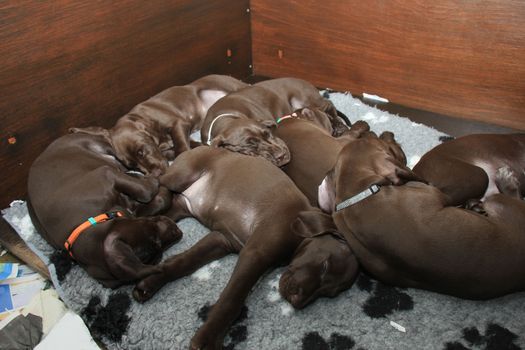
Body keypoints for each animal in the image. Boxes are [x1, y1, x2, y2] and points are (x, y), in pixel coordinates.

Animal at [27, 133, 182, 288]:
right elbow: (152, 196)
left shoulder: (106, 173)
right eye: (156, 243)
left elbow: (145, 192)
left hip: (100, 146)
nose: (178, 231)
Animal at [70, 75, 248, 176]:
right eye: (132, 165)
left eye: (141, 152)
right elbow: (191, 145)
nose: (155, 175)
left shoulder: (177, 124)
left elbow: (181, 147)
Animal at [131, 147, 356, 350]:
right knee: (156, 182)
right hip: (181, 175)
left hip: (178, 209)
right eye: (325, 265)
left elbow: (183, 262)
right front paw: (207, 339)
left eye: (329, 293)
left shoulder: (222, 240)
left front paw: (151, 282)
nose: (297, 301)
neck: (298, 226)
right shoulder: (254, 254)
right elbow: (232, 299)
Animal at [316, 133, 524, 300]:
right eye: (387, 147)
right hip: (495, 193)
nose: (391, 136)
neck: (358, 194)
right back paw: (505, 181)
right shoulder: (434, 193)